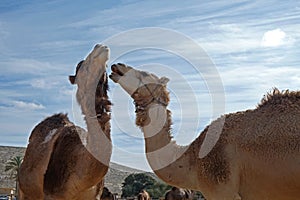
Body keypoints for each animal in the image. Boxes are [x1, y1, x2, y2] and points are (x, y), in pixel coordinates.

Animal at [18, 44, 112, 199]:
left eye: (106, 67)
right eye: (81, 67)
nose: (100, 46)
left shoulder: (95, 196)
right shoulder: (52, 194)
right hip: (22, 190)